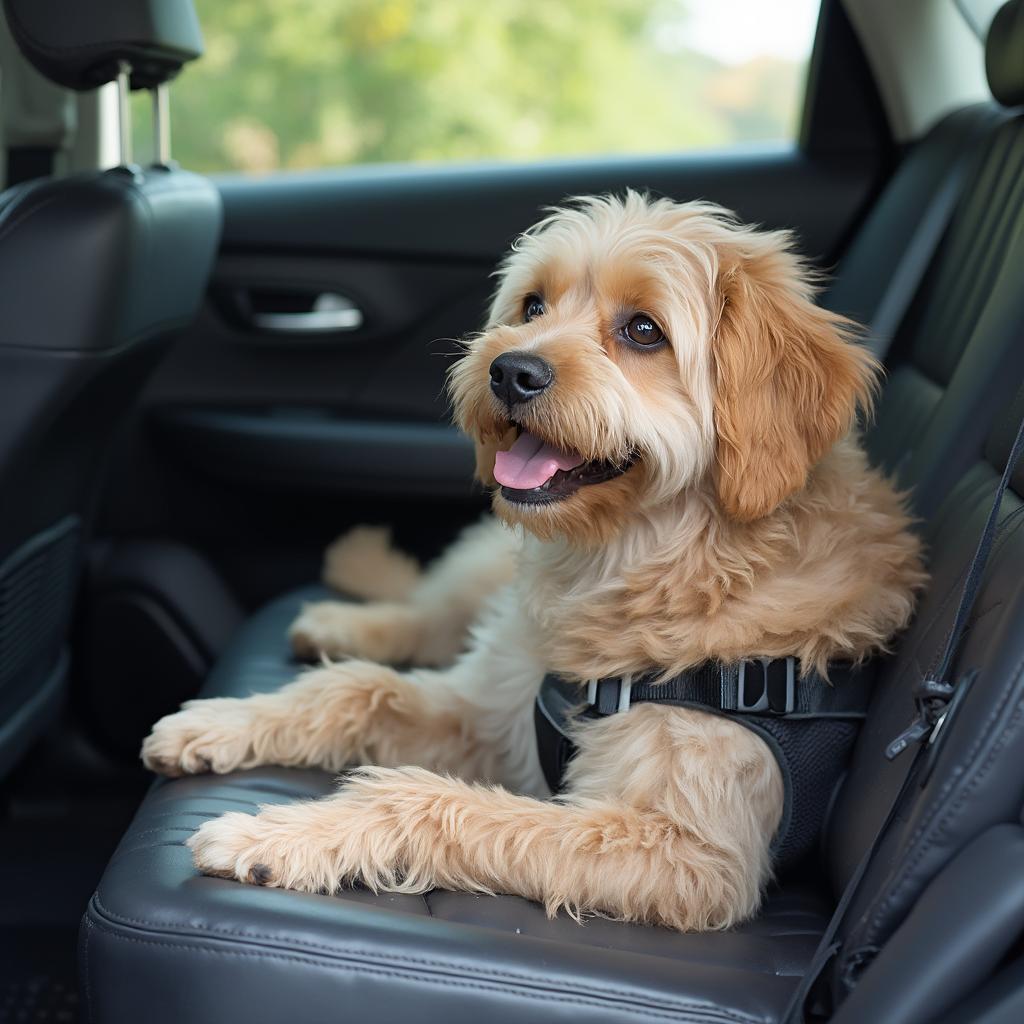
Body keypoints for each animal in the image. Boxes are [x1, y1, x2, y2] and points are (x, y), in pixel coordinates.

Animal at [140, 193, 925, 937]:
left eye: (645, 330)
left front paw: (277, 837)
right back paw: (343, 619)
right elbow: (359, 690)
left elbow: (427, 797)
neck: (652, 561)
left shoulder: (693, 853)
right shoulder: (494, 709)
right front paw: (220, 723)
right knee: (434, 615)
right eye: (533, 306)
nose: (510, 371)